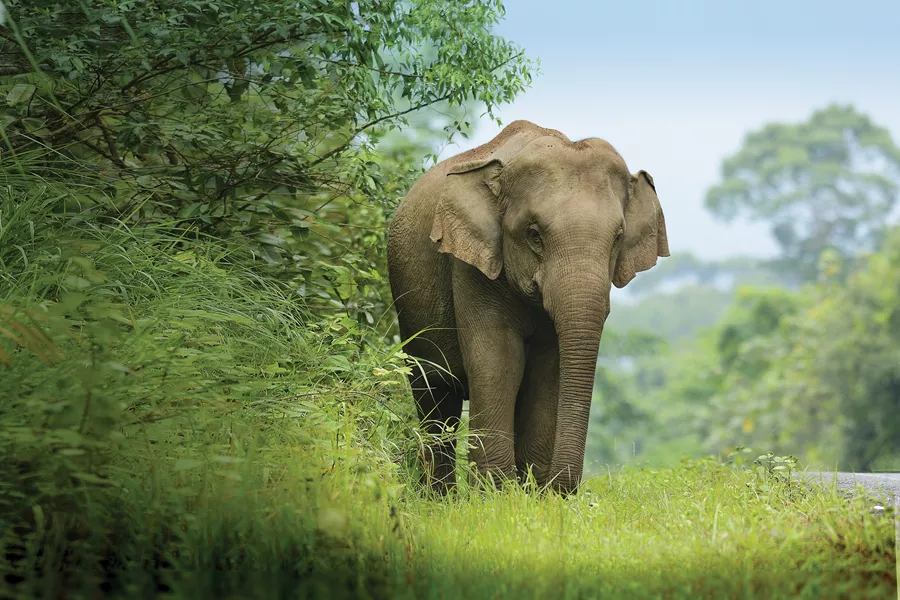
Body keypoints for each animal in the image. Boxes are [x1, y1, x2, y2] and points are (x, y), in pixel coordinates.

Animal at [386, 120, 669, 495]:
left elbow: (548, 368)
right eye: (534, 234)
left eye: (618, 238)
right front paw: (494, 494)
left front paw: (529, 494)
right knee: (434, 396)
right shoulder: (472, 267)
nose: (559, 490)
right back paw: (440, 498)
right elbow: (499, 361)